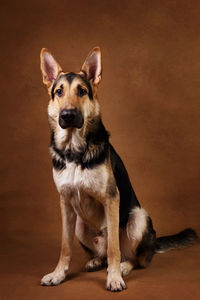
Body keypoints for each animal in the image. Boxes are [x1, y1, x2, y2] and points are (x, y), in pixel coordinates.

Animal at [39, 47, 198, 292]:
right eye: (58, 92)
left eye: (82, 91)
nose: (67, 115)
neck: (75, 152)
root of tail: (152, 243)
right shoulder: (65, 203)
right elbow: (65, 247)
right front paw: (58, 275)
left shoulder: (111, 199)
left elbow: (114, 247)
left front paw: (114, 278)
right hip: (80, 225)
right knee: (103, 254)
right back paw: (96, 261)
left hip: (138, 217)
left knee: (133, 257)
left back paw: (123, 267)